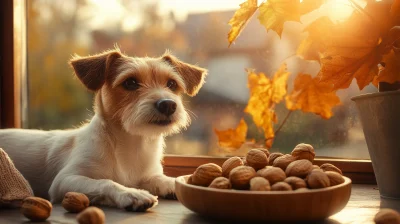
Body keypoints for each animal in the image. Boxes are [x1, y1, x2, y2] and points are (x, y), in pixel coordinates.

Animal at [0, 49, 208, 212]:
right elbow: (105, 181)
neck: (132, 144)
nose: (168, 105)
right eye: (130, 83)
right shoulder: (65, 180)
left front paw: (174, 183)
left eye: (171, 84)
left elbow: (162, 178)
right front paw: (131, 193)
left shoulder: (148, 175)